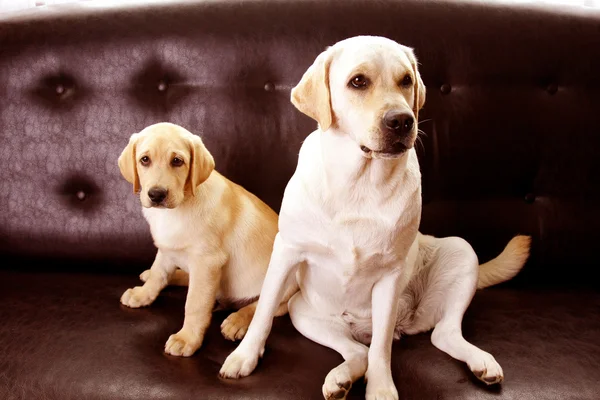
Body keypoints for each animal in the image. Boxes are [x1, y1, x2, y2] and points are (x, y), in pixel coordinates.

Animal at [116, 122, 296, 356]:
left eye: (177, 161)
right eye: (144, 160)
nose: (156, 194)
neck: (179, 207)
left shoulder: (207, 262)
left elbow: (195, 303)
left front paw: (187, 338)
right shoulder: (167, 249)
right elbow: (158, 274)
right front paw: (143, 294)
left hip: (284, 283)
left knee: (268, 307)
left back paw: (238, 321)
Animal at [220, 36, 528, 398]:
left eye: (406, 81)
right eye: (358, 81)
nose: (402, 121)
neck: (359, 182)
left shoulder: (390, 275)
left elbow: (381, 349)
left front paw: (381, 388)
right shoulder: (287, 251)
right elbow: (265, 311)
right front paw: (245, 356)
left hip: (461, 251)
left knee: (435, 335)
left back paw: (481, 363)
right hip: (304, 314)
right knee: (356, 351)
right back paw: (340, 378)